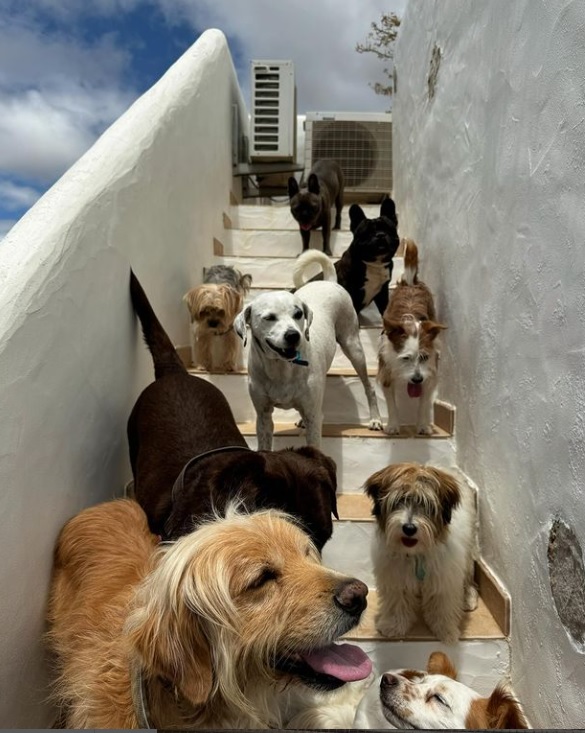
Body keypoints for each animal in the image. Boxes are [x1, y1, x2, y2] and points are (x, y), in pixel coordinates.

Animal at [234, 282, 384, 448]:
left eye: (298, 314)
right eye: (269, 318)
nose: (293, 335)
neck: (282, 368)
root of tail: (329, 281)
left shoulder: (314, 418)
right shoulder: (263, 416)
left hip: (353, 346)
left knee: (368, 386)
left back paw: (375, 419)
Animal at [376, 240, 444, 434]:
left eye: (424, 357)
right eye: (405, 358)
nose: (417, 379)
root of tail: (410, 282)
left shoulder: (430, 372)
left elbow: (424, 402)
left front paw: (423, 425)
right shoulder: (386, 371)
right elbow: (391, 404)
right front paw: (392, 425)